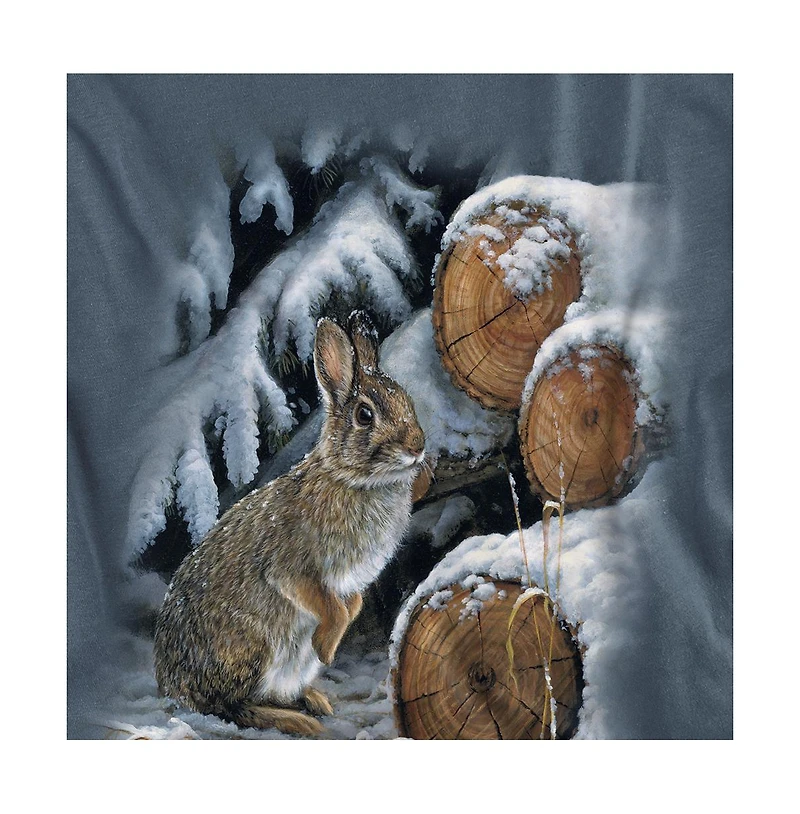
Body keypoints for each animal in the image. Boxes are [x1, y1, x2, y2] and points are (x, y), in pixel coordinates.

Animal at [154, 311, 426, 736]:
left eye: (407, 400)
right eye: (365, 415)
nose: (418, 445)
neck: (350, 478)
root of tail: (172, 685)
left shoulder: (350, 583)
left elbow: (352, 604)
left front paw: (328, 646)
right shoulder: (292, 570)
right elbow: (329, 607)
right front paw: (326, 649)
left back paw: (313, 701)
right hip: (253, 648)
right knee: (229, 706)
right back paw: (300, 720)